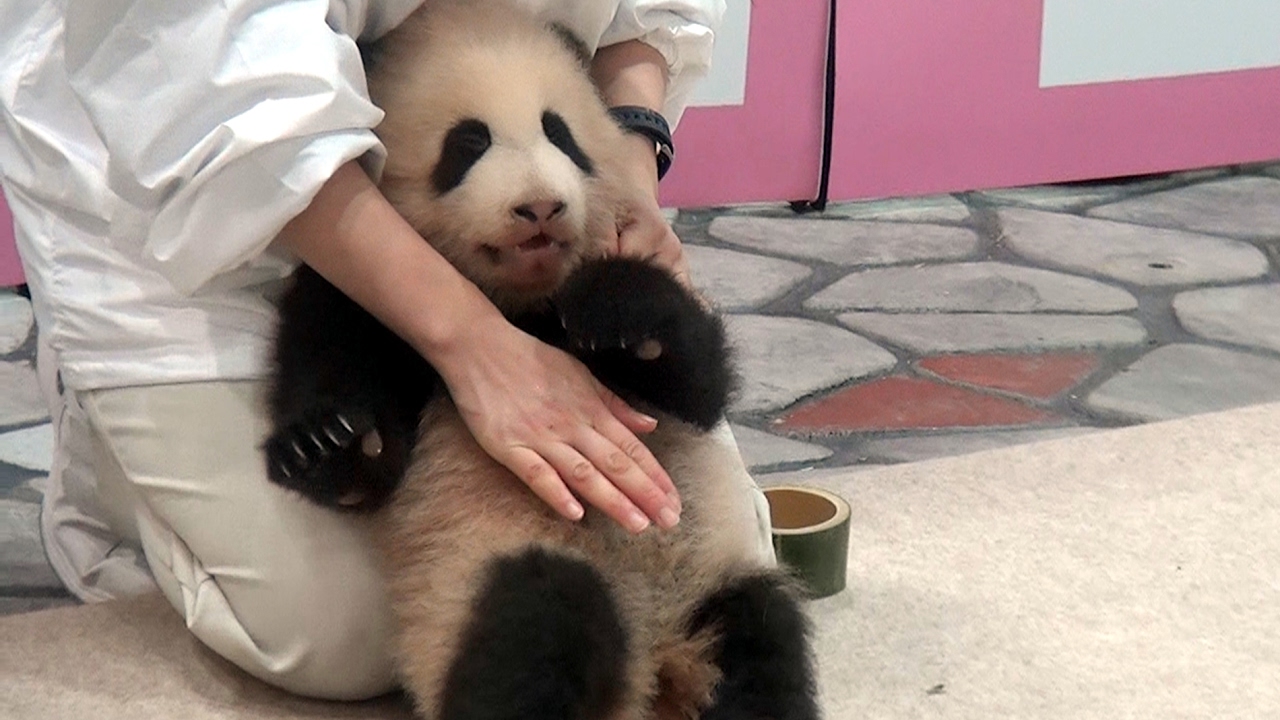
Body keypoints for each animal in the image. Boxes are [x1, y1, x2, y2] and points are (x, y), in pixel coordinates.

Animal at [264, 1, 820, 719]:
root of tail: (656, 666)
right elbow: (357, 429)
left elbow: (698, 382)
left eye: (559, 133)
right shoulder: (367, 297)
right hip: (478, 570)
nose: (540, 207)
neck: (523, 305)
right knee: (535, 629)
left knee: (760, 633)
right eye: (468, 144)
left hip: (709, 583)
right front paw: (327, 441)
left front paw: (618, 312)